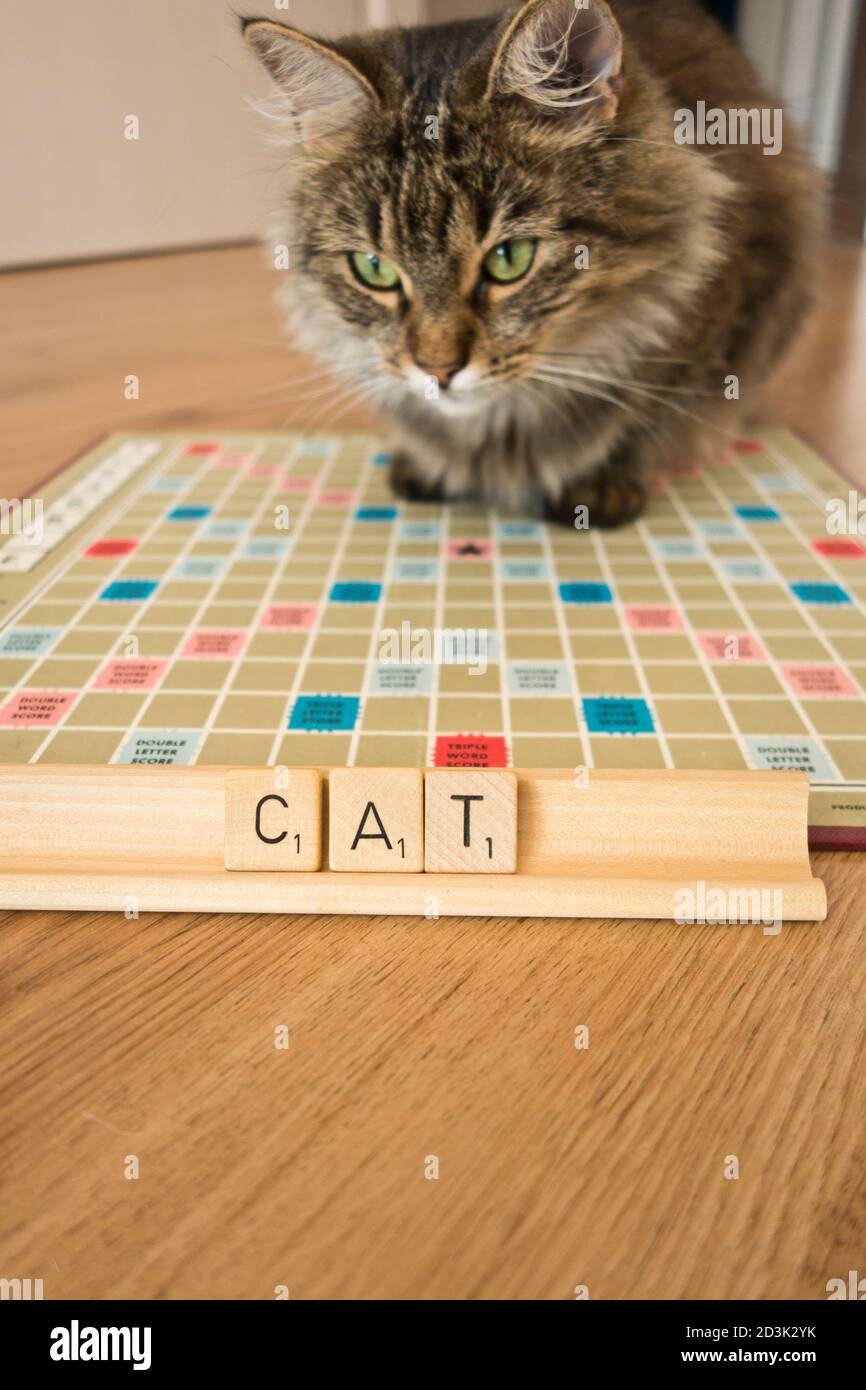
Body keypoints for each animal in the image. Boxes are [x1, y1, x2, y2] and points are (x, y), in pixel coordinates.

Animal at [241, 0, 817, 528]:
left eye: (509, 259)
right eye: (373, 269)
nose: (437, 371)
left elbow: (641, 418)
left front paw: (600, 482)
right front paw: (429, 463)